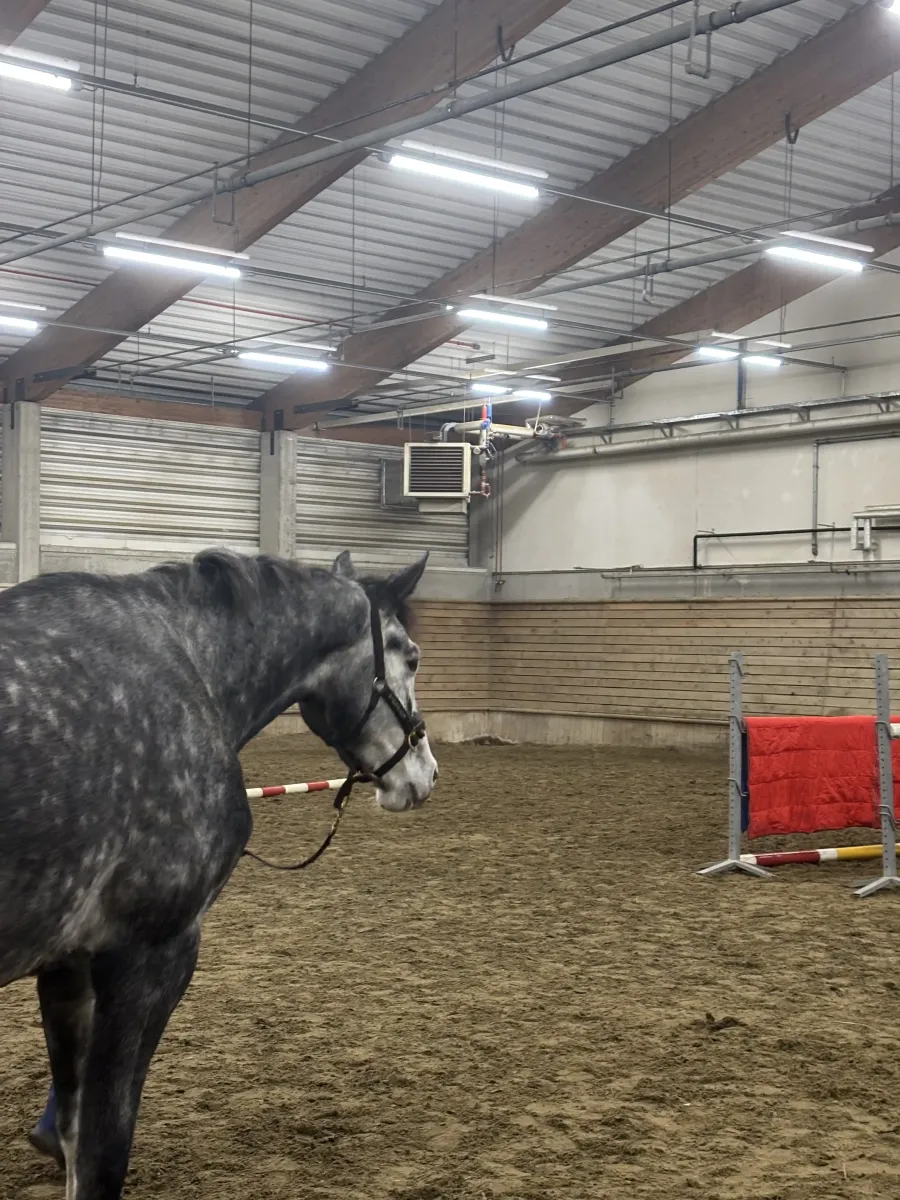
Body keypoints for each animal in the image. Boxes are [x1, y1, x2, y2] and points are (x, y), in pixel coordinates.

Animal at [0, 547, 437, 1200]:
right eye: (409, 655)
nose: (425, 771)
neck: (188, 663)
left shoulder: (66, 969)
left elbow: (76, 1136)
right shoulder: (149, 959)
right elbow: (103, 1152)